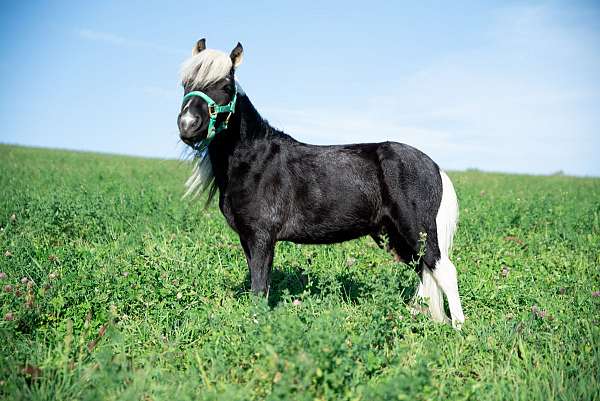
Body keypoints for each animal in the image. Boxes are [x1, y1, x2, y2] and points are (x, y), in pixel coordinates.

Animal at [176, 38, 466, 328]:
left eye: (225, 86)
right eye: (185, 84)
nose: (188, 125)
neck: (255, 160)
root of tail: (434, 166)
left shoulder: (262, 237)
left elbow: (260, 287)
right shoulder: (247, 238)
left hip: (419, 231)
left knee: (445, 271)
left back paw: (458, 327)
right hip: (395, 236)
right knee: (425, 273)